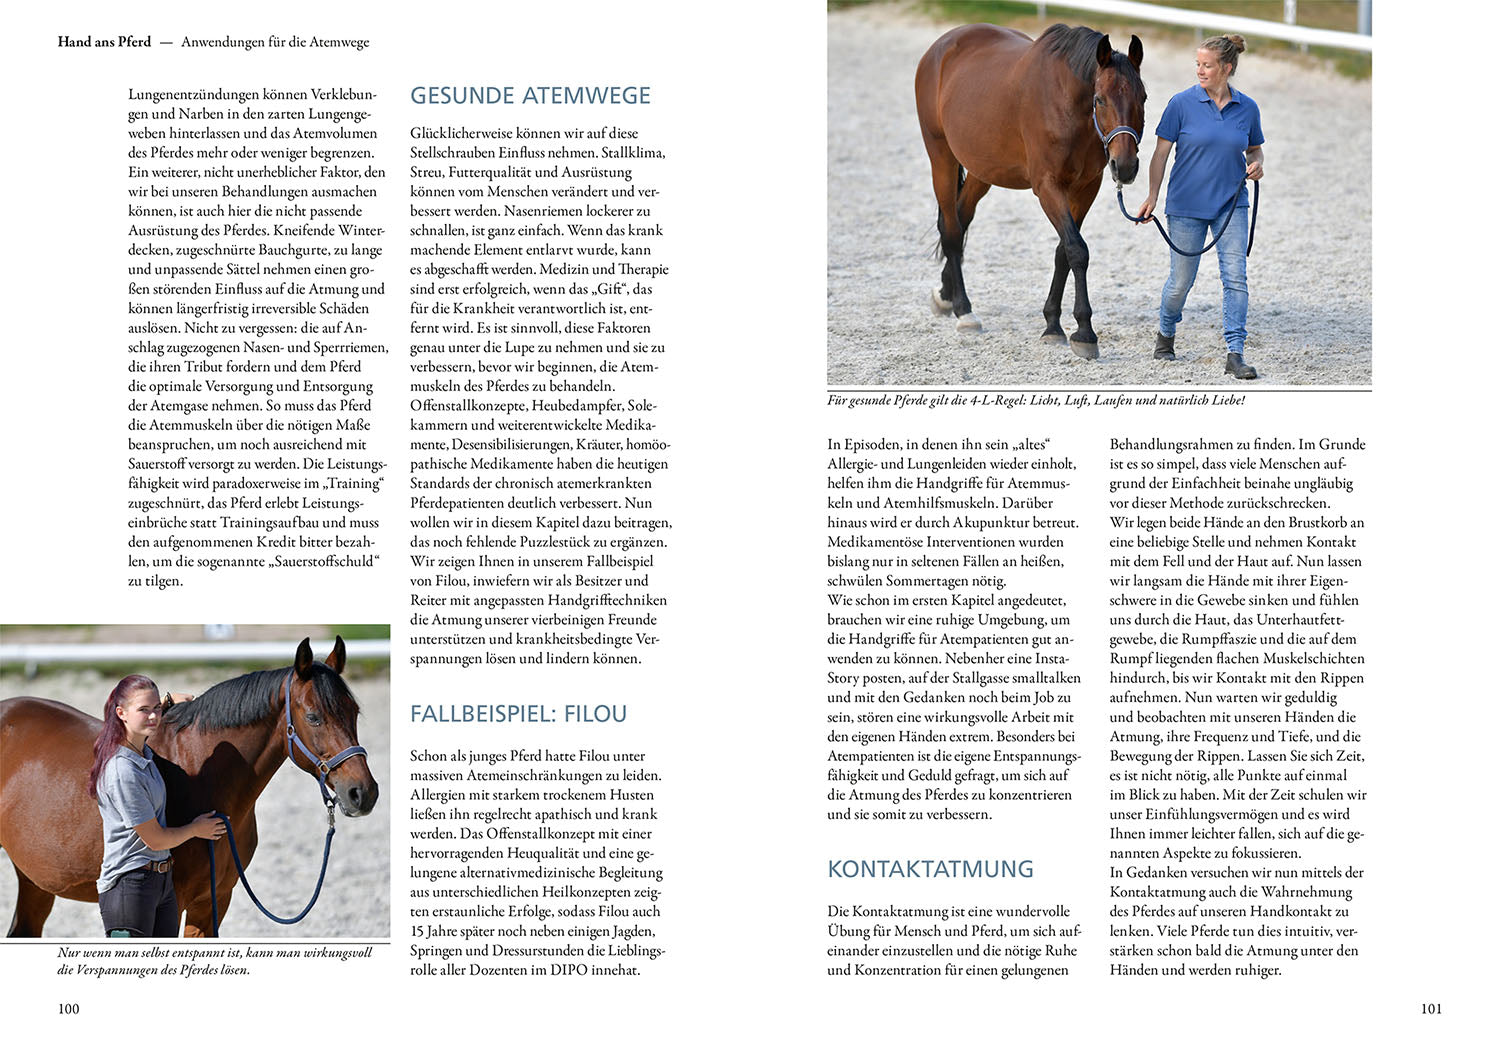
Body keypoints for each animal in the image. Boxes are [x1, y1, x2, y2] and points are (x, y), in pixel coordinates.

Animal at [0, 636, 377, 937]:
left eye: (355, 711)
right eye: (313, 717)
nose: (363, 793)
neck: (202, 775)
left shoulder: (213, 900)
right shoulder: (175, 901)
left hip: (34, 879)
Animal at [915, 23, 1146, 358]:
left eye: (1144, 97)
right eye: (1100, 99)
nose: (1125, 166)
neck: (1067, 105)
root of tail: (942, 45)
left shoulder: (1085, 188)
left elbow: (1064, 251)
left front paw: (1053, 323)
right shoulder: (1048, 186)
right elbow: (1077, 250)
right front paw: (1084, 332)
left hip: (983, 170)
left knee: (960, 218)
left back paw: (945, 294)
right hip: (941, 156)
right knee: (952, 230)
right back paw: (963, 310)